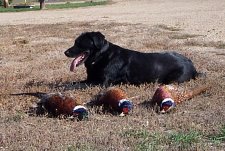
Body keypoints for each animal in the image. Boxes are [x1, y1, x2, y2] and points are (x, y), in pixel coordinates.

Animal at [64, 31, 200, 86]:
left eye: (79, 43)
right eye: (75, 42)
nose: (65, 52)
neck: (101, 56)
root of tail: (193, 66)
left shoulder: (102, 83)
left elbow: (75, 86)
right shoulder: (90, 80)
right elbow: (74, 83)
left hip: (172, 79)